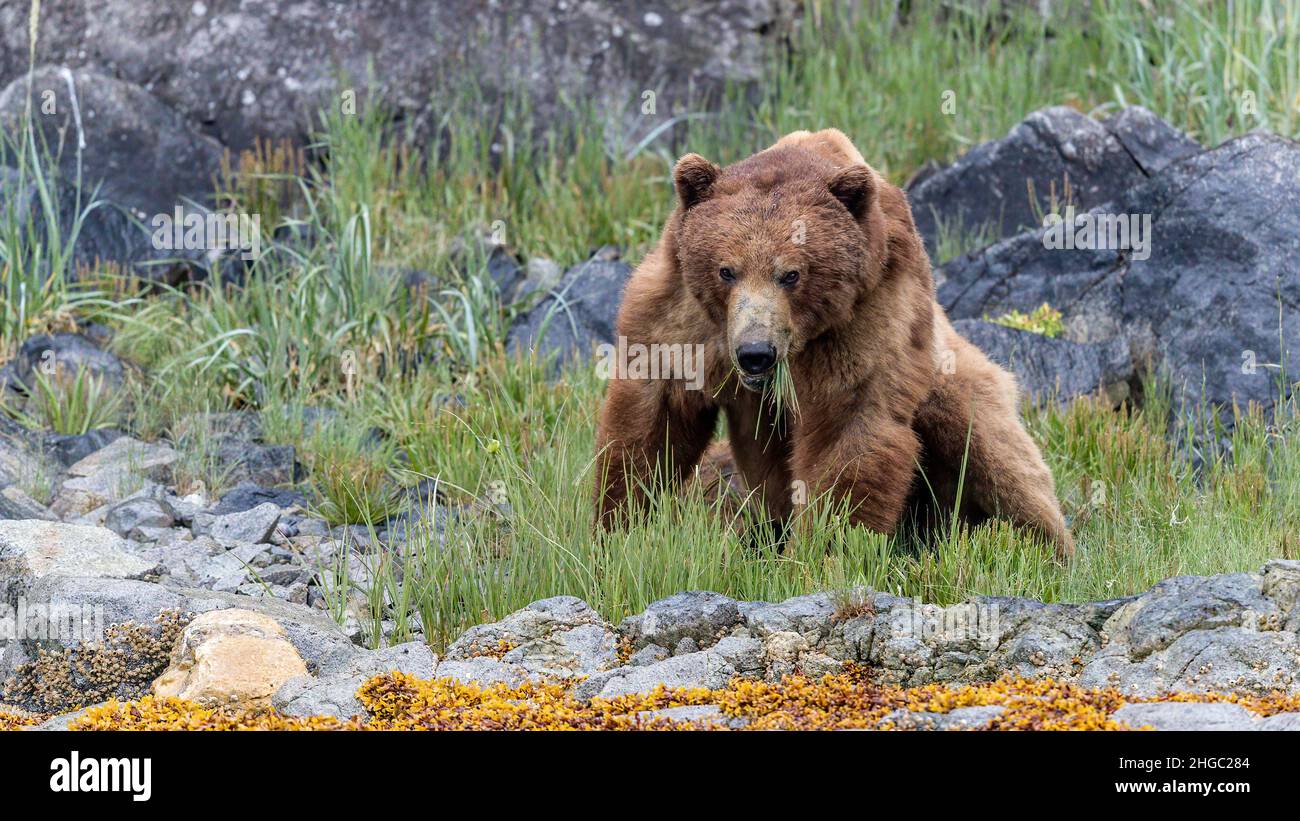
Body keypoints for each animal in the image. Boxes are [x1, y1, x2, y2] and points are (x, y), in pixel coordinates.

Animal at [595, 129, 1071, 558]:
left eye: (791, 274)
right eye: (725, 270)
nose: (755, 354)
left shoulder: (868, 309)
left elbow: (849, 424)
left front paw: (823, 550)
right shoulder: (682, 314)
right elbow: (651, 418)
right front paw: (618, 529)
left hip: (957, 375)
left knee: (996, 456)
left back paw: (1041, 546)